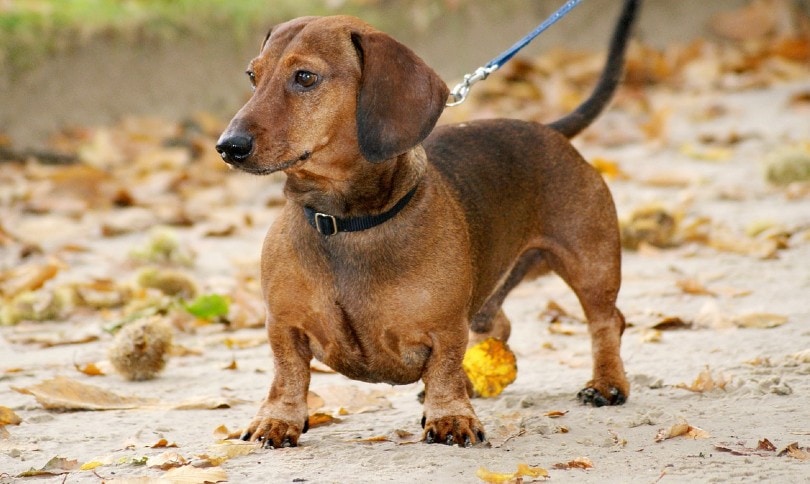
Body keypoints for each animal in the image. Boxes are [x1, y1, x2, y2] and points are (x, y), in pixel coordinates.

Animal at [218, 0, 640, 448]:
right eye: (252, 75)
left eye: (305, 77)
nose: (228, 147)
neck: (346, 222)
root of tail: (549, 129)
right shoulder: (283, 326)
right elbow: (287, 375)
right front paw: (277, 420)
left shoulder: (445, 328)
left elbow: (444, 368)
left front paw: (451, 416)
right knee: (499, 324)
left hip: (591, 264)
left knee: (606, 321)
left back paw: (607, 383)